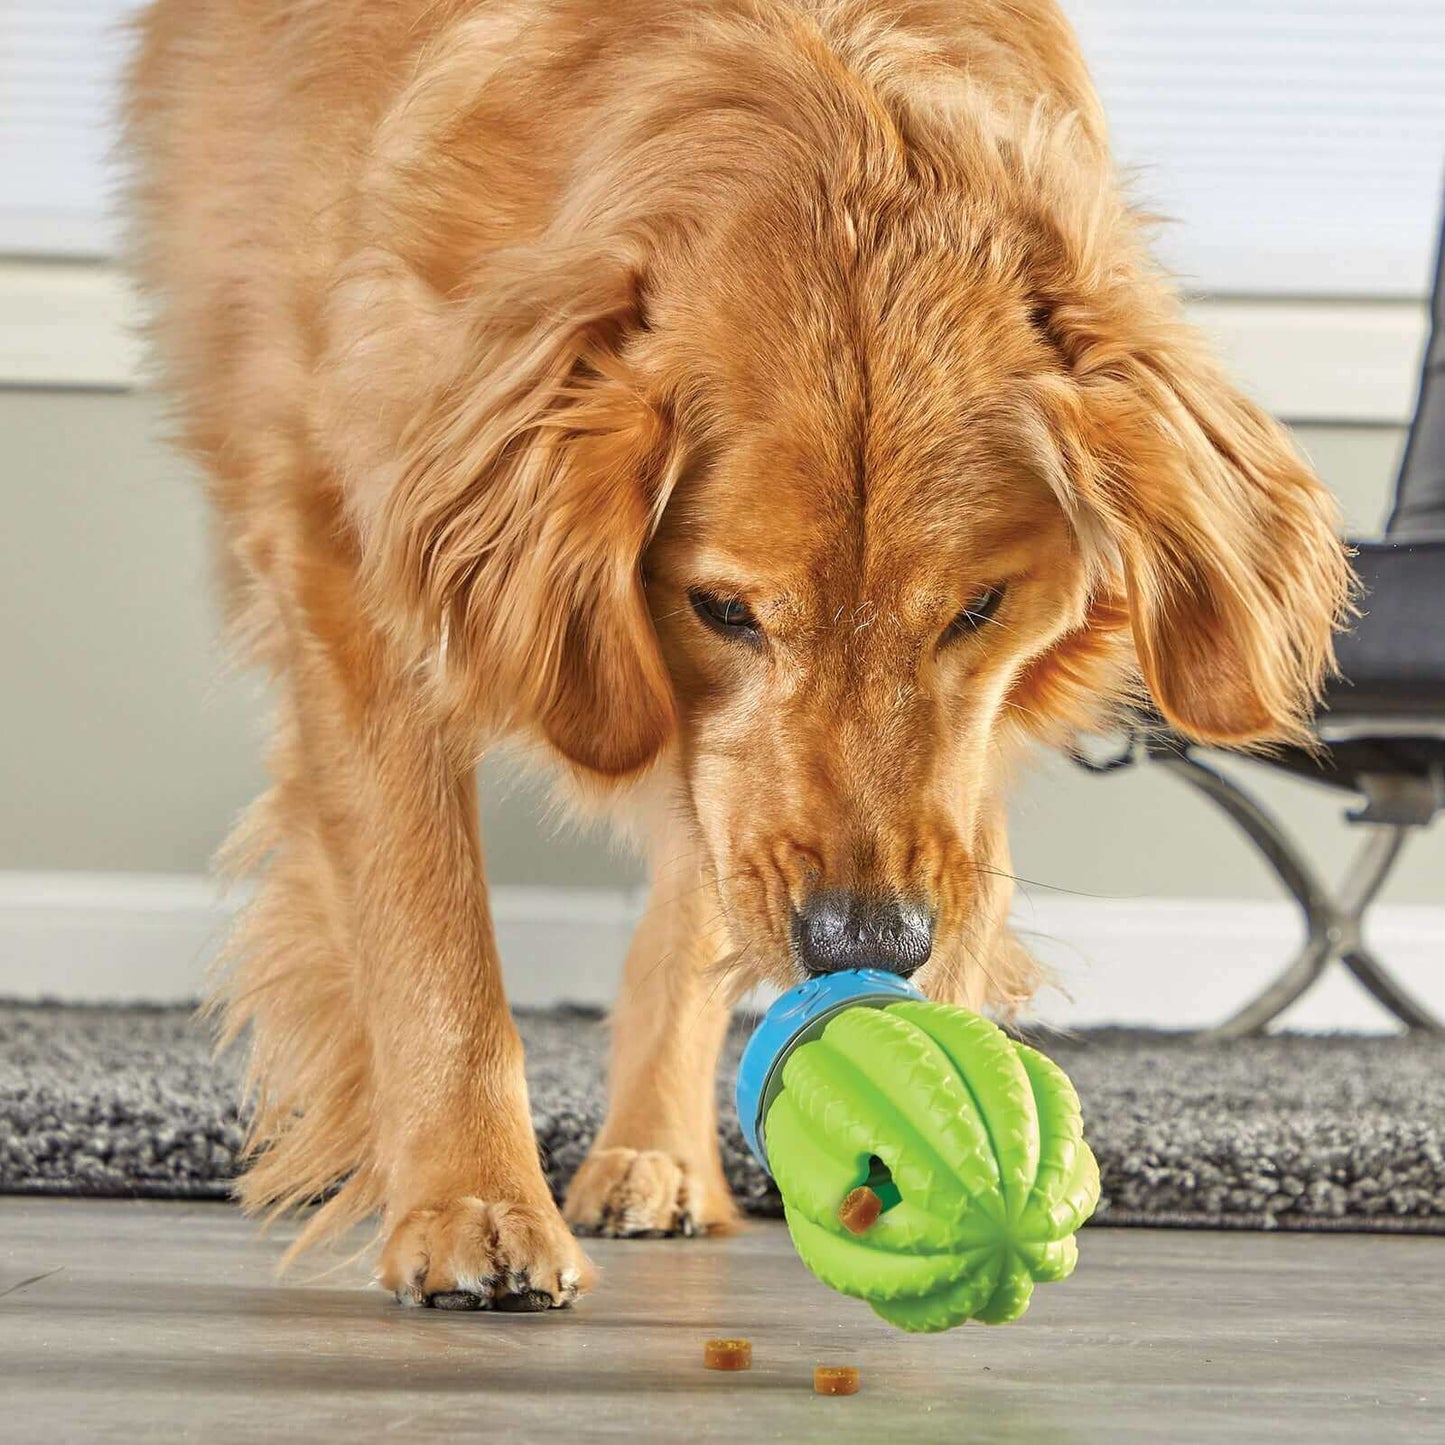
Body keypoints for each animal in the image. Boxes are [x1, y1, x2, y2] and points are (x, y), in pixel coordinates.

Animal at [127, 0, 1352, 1312]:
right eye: (721, 608)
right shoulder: (353, 560)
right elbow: (432, 925)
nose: (873, 949)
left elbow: (713, 888)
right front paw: (470, 1203)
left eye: (977, 608)